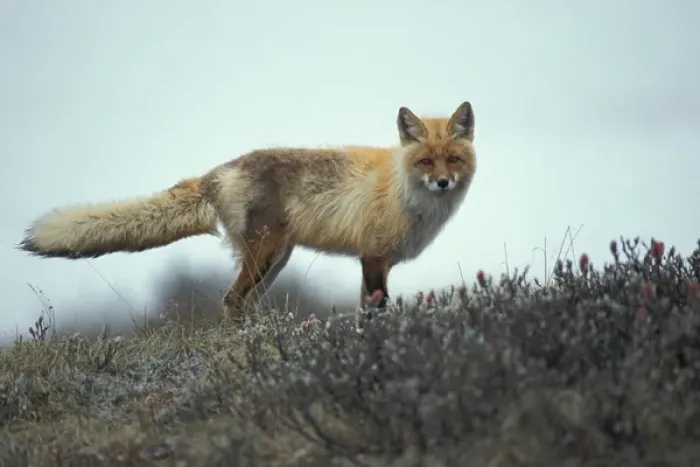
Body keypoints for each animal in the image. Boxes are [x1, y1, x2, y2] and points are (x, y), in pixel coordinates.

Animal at [19, 101, 477, 327]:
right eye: (425, 162)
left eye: (452, 160)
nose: (442, 183)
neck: (402, 191)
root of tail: (217, 172)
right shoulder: (373, 257)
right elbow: (374, 312)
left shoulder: (376, 261)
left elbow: (369, 311)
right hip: (265, 254)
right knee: (231, 299)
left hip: (274, 261)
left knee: (239, 302)